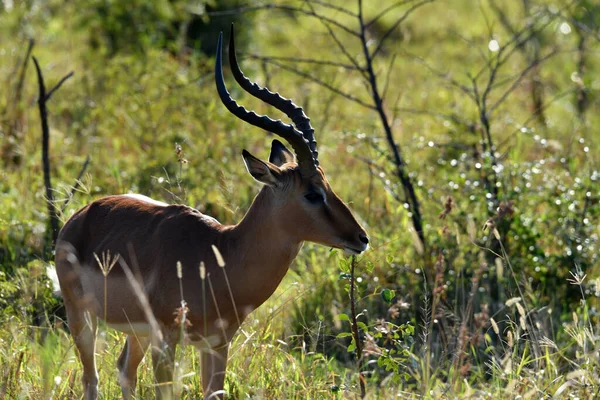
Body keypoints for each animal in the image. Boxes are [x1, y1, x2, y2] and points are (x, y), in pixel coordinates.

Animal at [56, 26, 368, 398]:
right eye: (312, 193)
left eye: (328, 185)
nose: (361, 237)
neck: (222, 257)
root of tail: (80, 214)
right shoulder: (167, 341)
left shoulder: (217, 344)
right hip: (82, 319)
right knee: (92, 378)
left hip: (136, 333)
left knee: (124, 371)